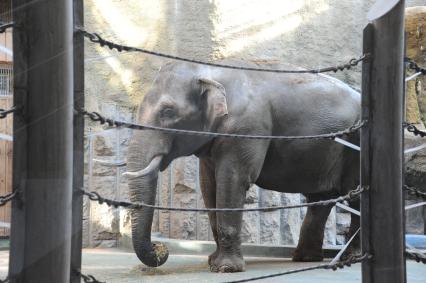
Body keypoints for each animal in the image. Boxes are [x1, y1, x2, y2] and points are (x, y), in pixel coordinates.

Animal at [125, 61, 362, 274]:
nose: (160, 248)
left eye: (168, 112)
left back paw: (351, 257)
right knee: (320, 201)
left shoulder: (246, 130)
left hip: (356, 143)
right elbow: (208, 186)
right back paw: (304, 258)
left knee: (354, 196)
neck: (209, 70)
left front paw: (226, 268)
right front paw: (212, 262)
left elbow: (232, 180)